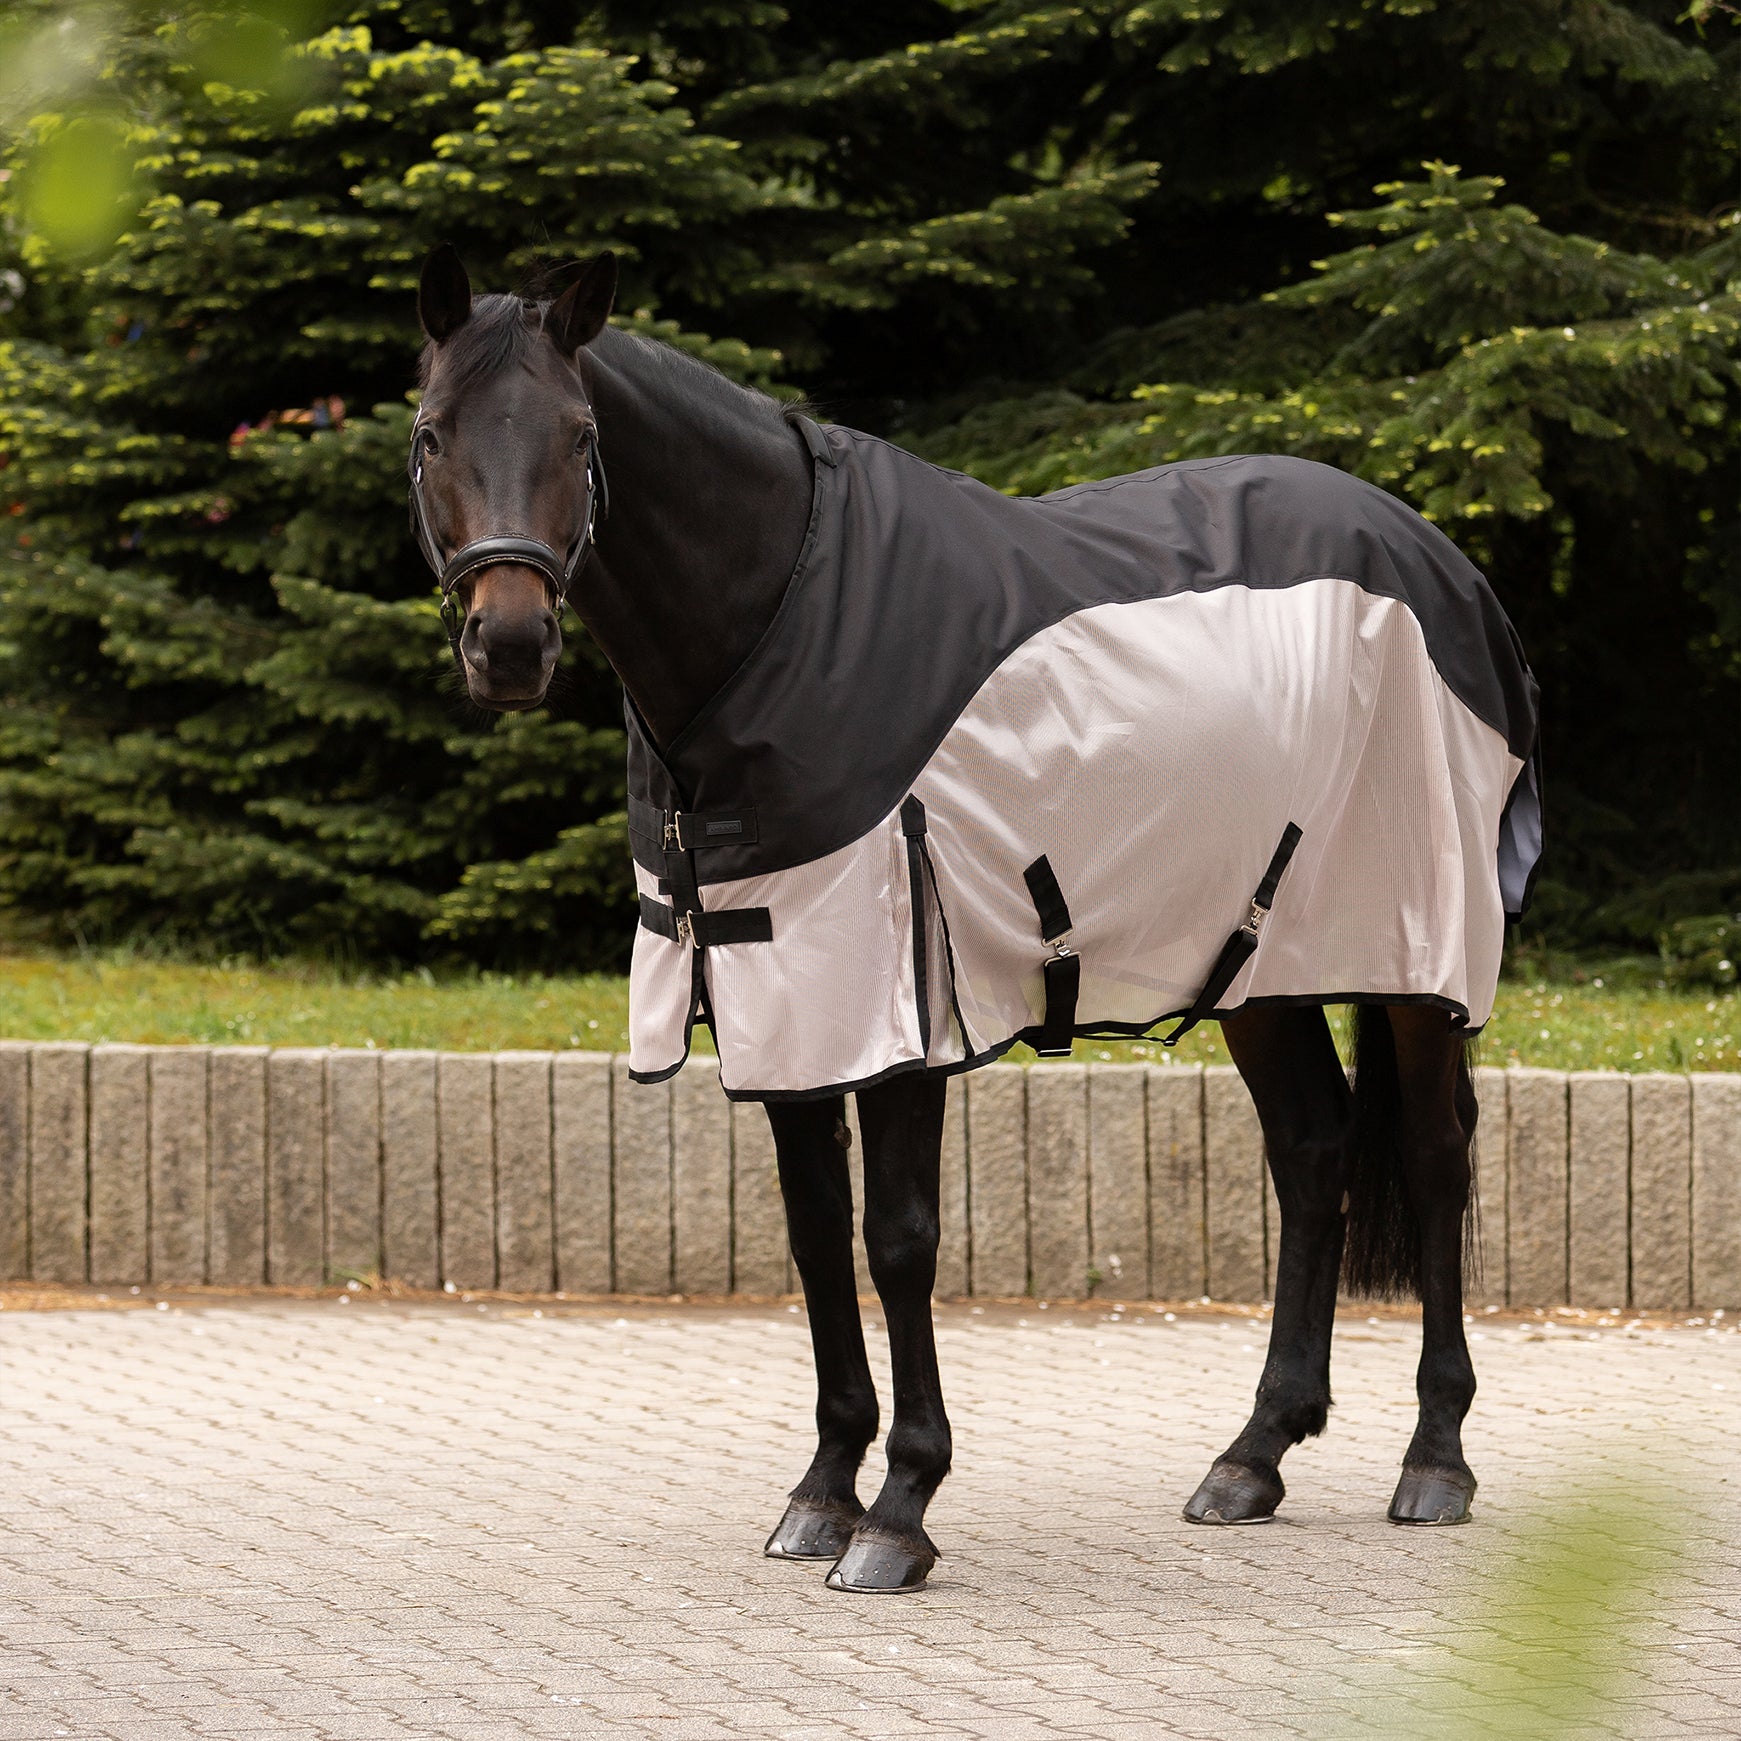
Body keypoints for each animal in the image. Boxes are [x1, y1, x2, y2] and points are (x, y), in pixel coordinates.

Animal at [408, 245, 1542, 1594]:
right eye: (430, 432)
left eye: (580, 435)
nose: (510, 644)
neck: (783, 620)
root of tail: (1441, 563)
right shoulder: (783, 993)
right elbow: (814, 1236)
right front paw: (821, 1492)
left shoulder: (893, 1000)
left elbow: (899, 1238)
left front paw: (899, 1511)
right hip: (1258, 960)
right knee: (1312, 1152)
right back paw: (1251, 1456)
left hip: (1417, 955)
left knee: (1430, 1158)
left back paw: (1435, 1461)